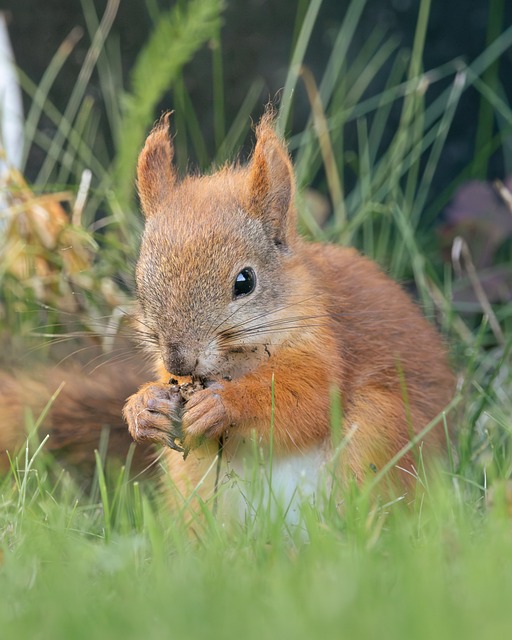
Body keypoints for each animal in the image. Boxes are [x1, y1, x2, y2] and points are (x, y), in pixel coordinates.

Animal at [121, 110, 456, 510]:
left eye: (245, 281)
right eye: (140, 281)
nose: (179, 361)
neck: (237, 363)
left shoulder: (325, 346)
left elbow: (309, 399)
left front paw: (221, 405)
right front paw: (145, 408)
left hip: (380, 427)